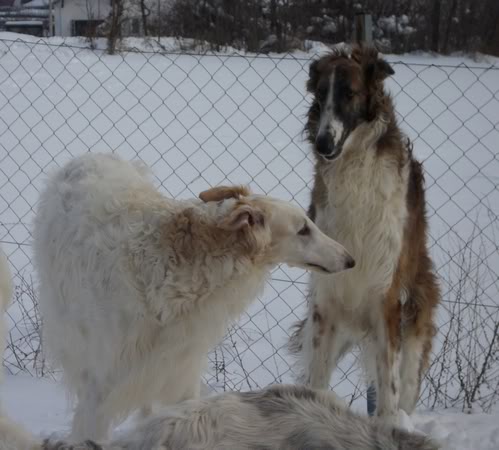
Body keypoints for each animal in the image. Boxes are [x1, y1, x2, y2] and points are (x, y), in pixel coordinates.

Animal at [290, 44, 442, 424]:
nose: (323, 142)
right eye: (320, 94)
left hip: (413, 321)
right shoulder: (326, 300)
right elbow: (315, 382)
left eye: (350, 93)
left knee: (404, 387)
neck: (353, 169)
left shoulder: (385, 296)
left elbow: (388, 389)